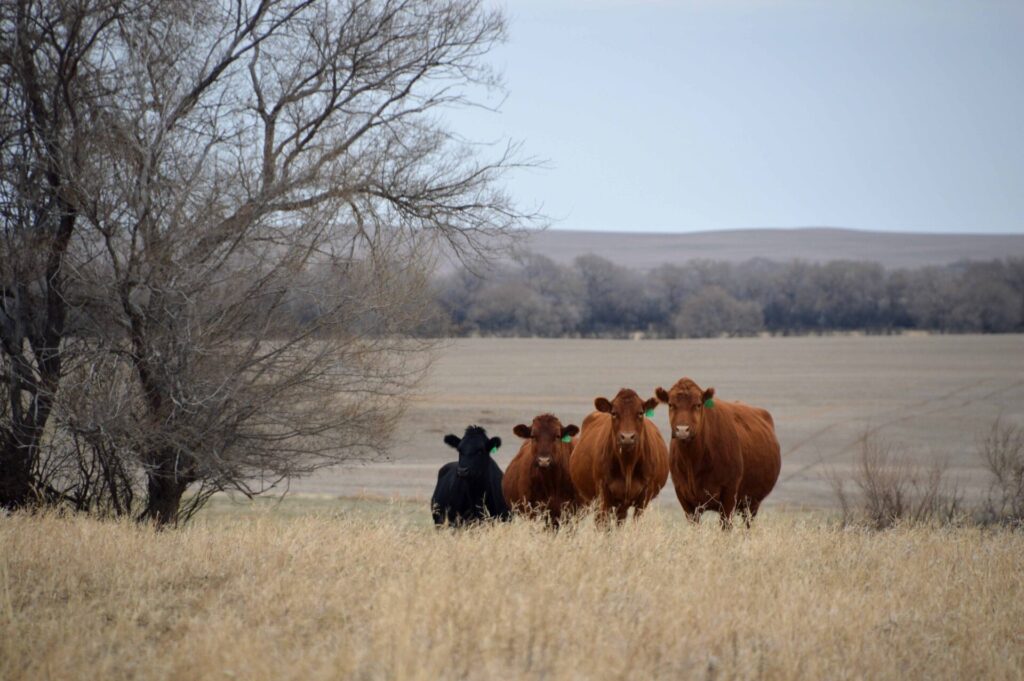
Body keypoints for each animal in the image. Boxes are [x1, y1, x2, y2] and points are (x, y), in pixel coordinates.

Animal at [569, 385, 671, 522]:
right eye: (614, 413)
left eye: (640, 413)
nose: (627, 437)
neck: (627, 465)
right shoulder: (603, 493)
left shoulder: (644, 496)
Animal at [659, 376, 778, 524]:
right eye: (670, 404)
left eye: (698, 404)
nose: (682, 430)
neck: (693, 461)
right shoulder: (684, 496)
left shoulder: (729, 494)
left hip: (751, 504)